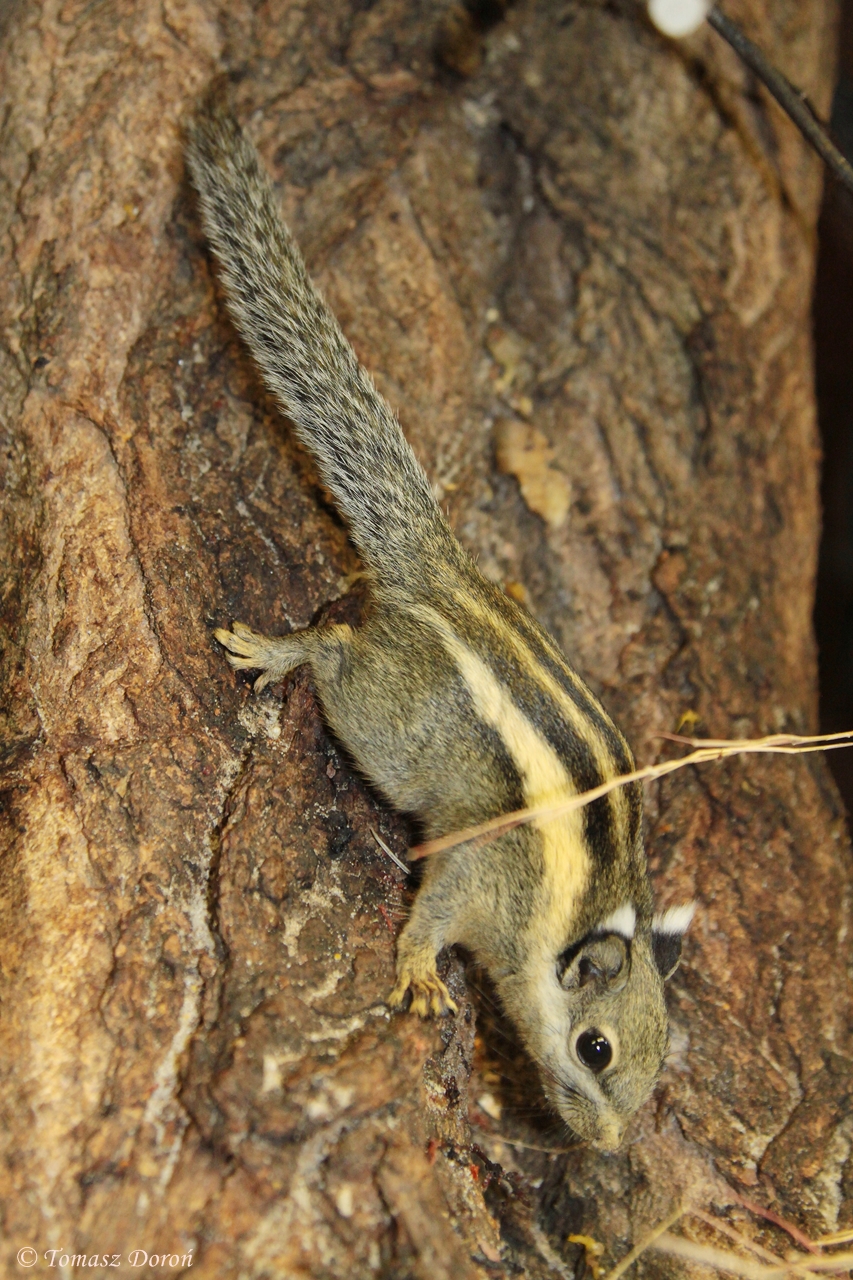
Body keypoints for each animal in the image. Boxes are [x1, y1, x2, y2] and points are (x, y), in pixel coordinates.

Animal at [186, 93, 694, 1152]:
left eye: (656, 1066)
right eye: (593, 1049)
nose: (604, 1147)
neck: (574, 915)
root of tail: (440, 577)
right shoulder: (478, 874)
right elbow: (430, 915)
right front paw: (420, 972)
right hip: (382, 718)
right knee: (336, 650)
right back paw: (281, 649)